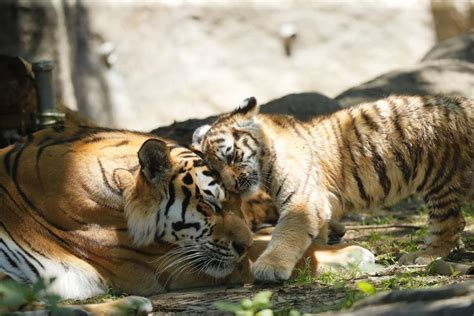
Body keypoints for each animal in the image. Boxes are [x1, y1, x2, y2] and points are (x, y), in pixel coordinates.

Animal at [0, 125, 374, 314]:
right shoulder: (161, 264)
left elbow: (264, 240)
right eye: (210, 205)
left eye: (239, 201)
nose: (240, 244)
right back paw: (132, 304)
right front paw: (352, 254)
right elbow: (258, 257)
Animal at [194, 94, 472, 282]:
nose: (233, 185)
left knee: (450, 224)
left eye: (231, 156)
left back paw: (423, 256)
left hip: (439, 178)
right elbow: (313, 236)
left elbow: (287, 233)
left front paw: (270, 267)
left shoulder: (303, 200)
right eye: (215, 170)